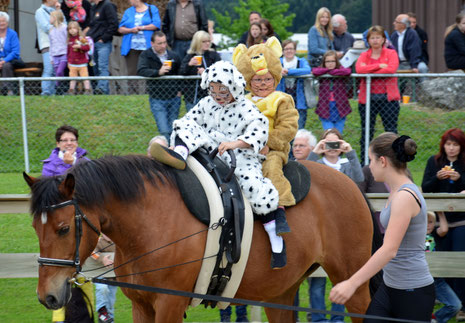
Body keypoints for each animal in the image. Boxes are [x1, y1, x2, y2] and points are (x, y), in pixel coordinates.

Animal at [24, 156, 374, 322]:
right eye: (35, 229)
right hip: (280, 293)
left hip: (352, 286)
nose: (47, 296)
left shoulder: (170, 304)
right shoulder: (142, 305)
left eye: (63, 229)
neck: (150, 223)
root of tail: (352, 184)